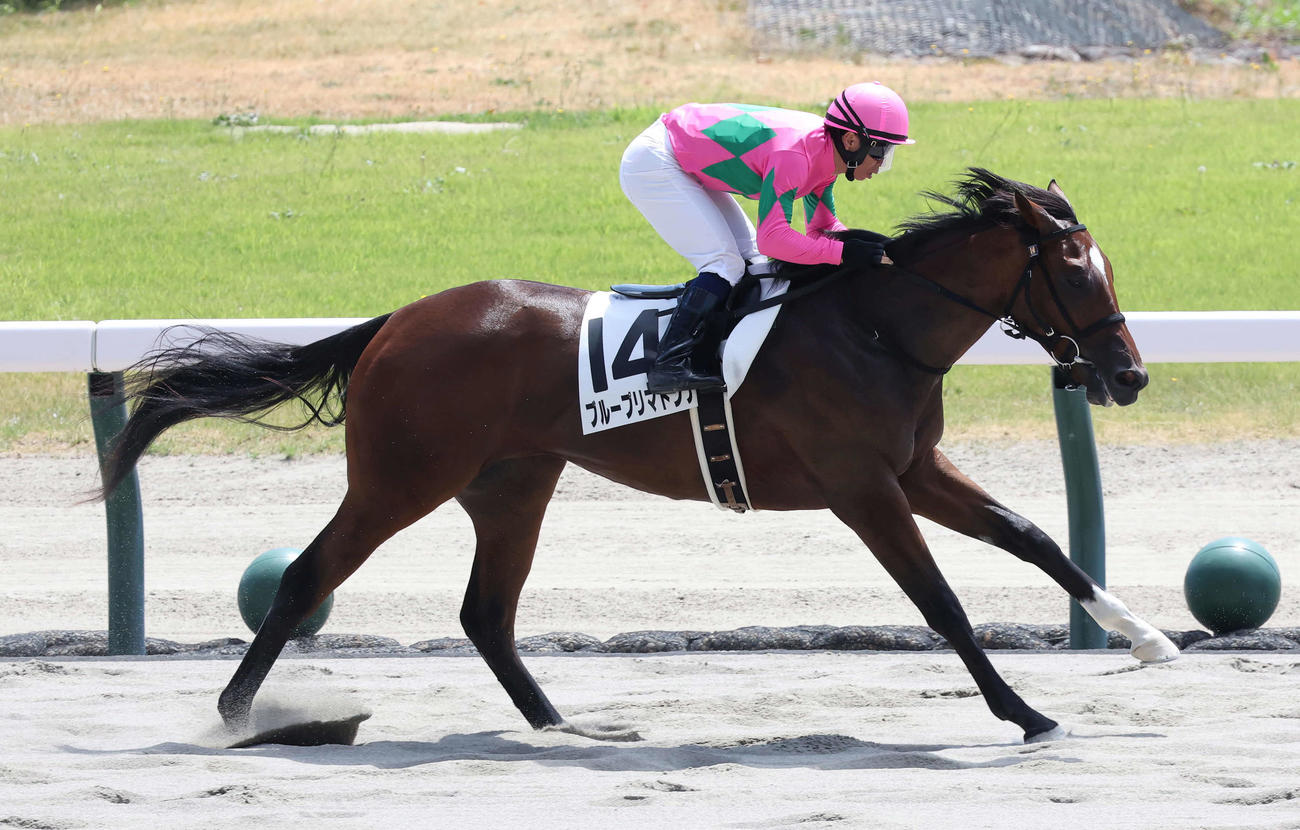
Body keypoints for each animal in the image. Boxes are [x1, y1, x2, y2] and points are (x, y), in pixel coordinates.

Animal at [98, 168, 1178, 744]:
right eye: (1076, 272)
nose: (1126, 374)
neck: (874, 326)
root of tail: (396, 320)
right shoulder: (863, 486)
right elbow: (942, 601)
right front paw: (1024, 711)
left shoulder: (913, 470)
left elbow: (1035, 537)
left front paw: (1144, 638)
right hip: (402, 477)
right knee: (305, 577)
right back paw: (239, 712)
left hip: (512, 483)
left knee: (485, 611)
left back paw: (560, 724)